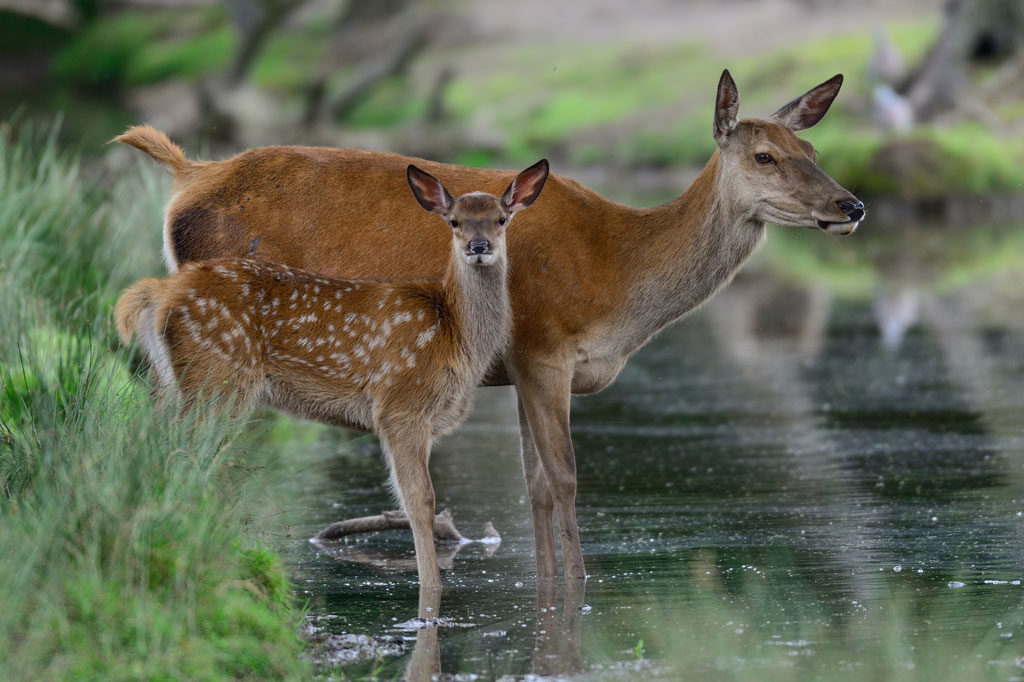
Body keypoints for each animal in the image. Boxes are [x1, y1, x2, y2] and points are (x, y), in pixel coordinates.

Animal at [112, 69, 864, 581]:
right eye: (764, 156)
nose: (851, 205)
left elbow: (534, 490)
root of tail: (187, 177)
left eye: (812, 150)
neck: (618, 274)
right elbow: (563, 479)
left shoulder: (520, 371)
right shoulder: (544, 347)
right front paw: (583, 587)